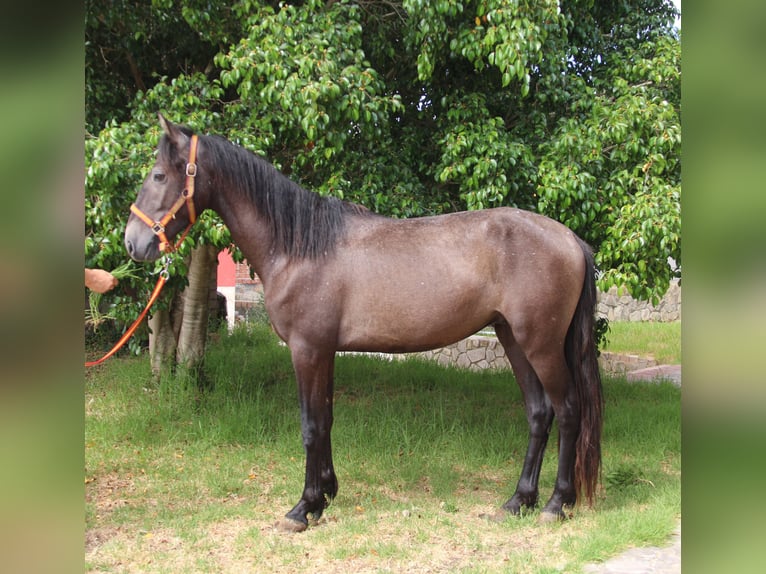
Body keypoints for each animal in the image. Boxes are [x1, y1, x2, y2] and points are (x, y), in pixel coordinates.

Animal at [126, 115, 608, 532]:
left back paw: (555, 504)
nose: (134, 242)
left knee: (568, 410)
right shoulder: (324, 351)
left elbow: (310, 425)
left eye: (159, 176)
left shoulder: (307, 349)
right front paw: (325, 494)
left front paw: (303, 508)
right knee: (539, 413)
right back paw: (518, 501)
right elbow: (326, 418)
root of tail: (571, 239)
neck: (301, 245)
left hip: (540, 344)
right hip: (513, 339)